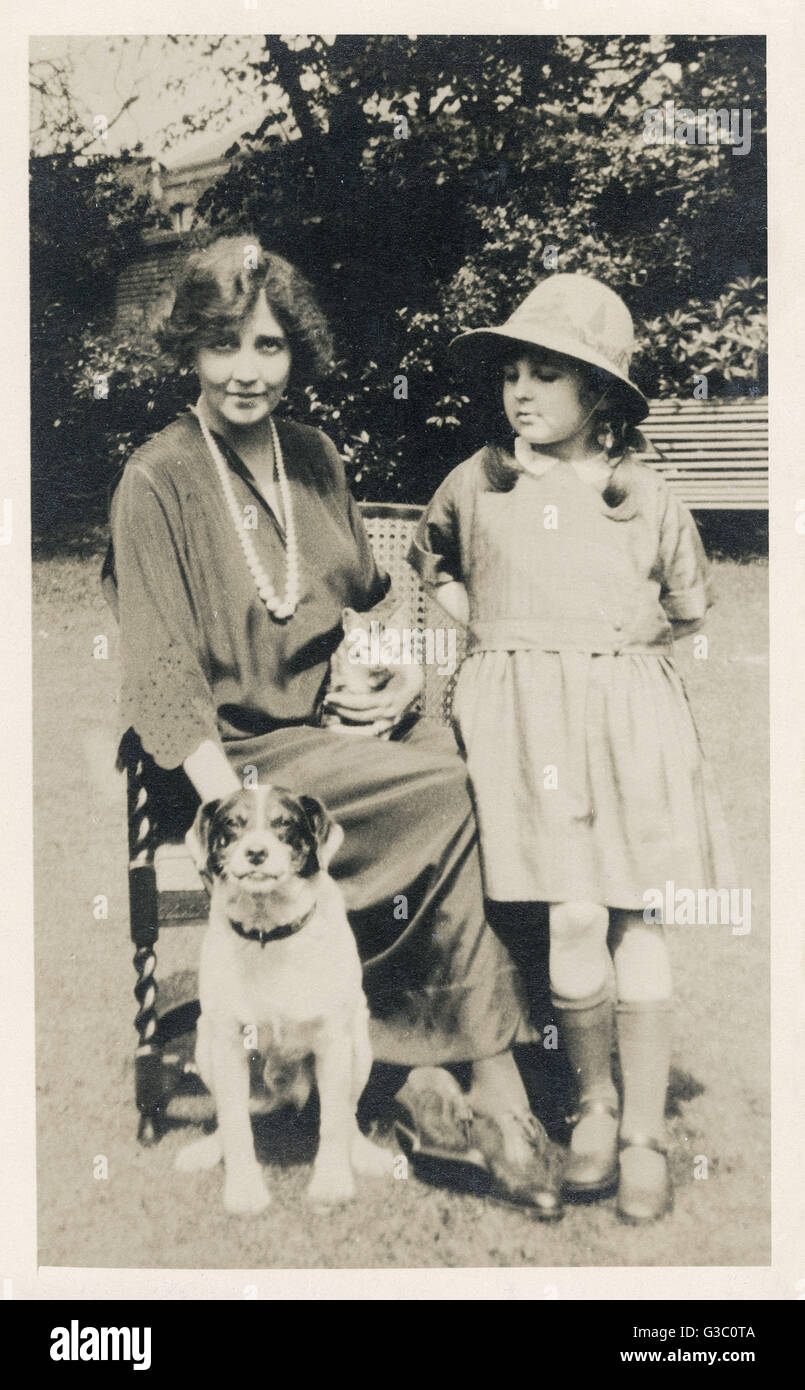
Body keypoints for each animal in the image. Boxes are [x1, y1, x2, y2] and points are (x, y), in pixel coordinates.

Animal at [175, 789, 394, 1212]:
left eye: (284, 824)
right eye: (233, 824)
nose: (256, 853)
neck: (268, 934)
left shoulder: (334, 1040)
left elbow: (334, 1123)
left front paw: (331, 1182)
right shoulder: (227, 1041)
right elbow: (235, 1125)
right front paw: (245, 1190)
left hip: (360, 1047)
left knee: (348, 1113)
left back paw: (364, 1153)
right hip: (204, 1046)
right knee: (228, 1114)